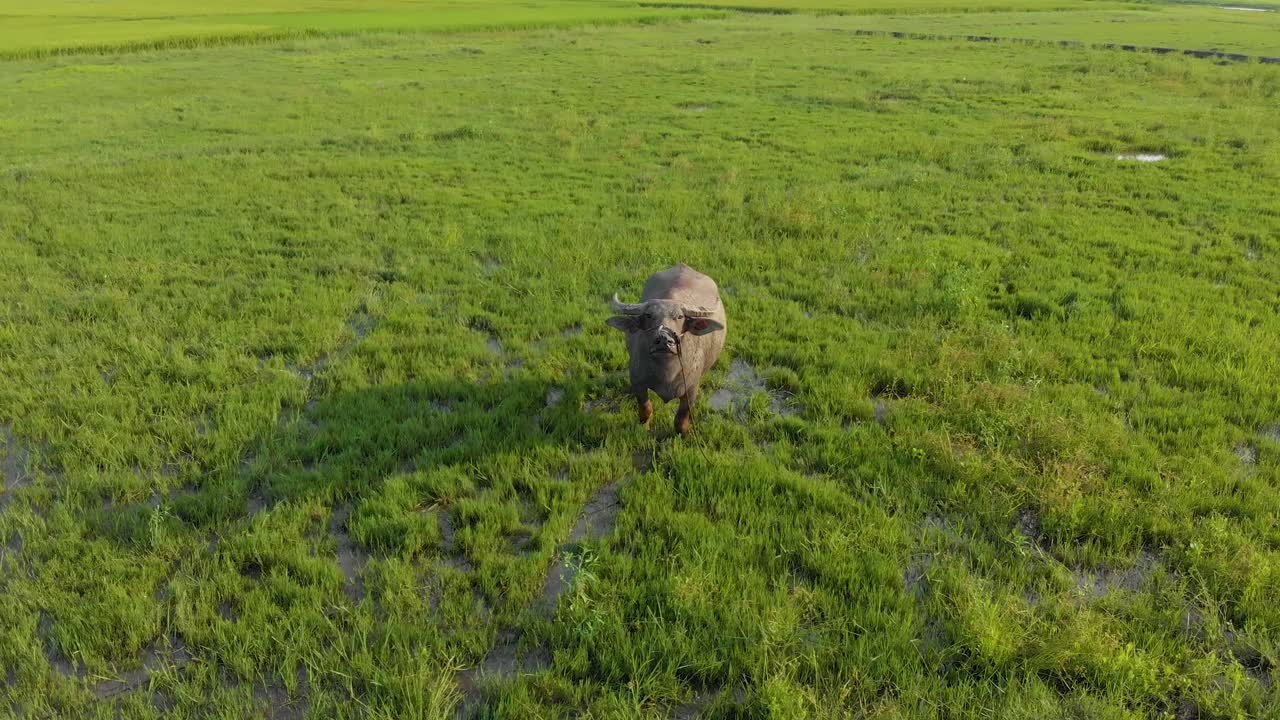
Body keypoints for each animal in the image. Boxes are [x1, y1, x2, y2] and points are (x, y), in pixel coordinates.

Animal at [605, 264, 726, 435]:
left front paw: (683, 433)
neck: (666, 373)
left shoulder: (690, 390)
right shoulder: (637, 382)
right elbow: (646, 409)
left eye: (680, 317)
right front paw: (644, 427)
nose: (664, 339)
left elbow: (681, 419)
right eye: (649, 315)